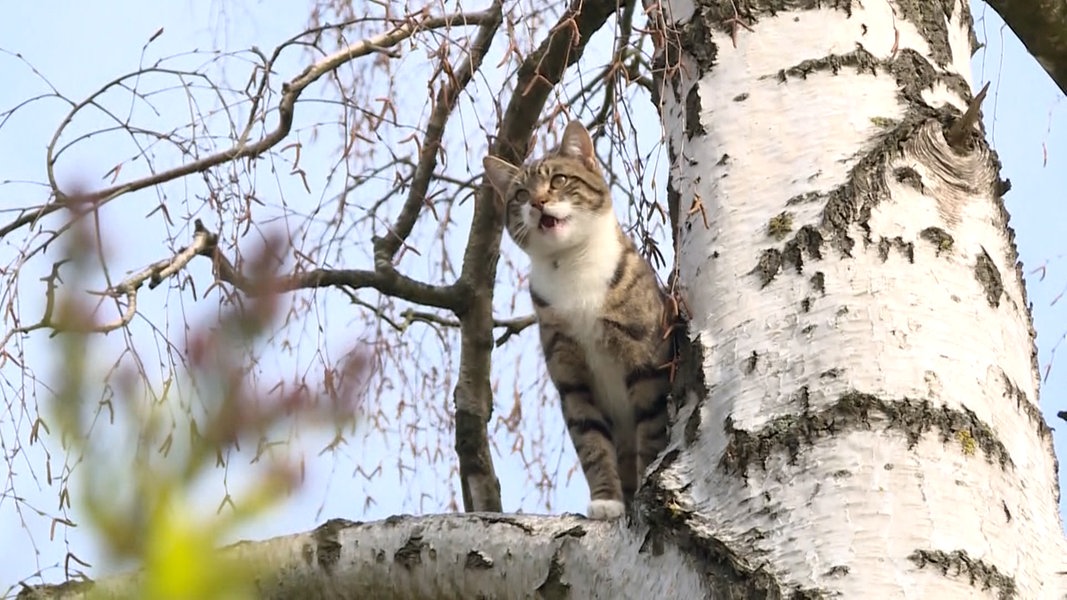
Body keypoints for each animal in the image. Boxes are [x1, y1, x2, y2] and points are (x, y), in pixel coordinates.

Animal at [486, 121, 674, 518]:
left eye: (558, 180)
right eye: (520, 194)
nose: (538, 202)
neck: (572, 265)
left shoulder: (646, 360)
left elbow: (650, 430)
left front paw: (644, 485)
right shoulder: (571, 377)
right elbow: (591, 443)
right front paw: (607, 500)